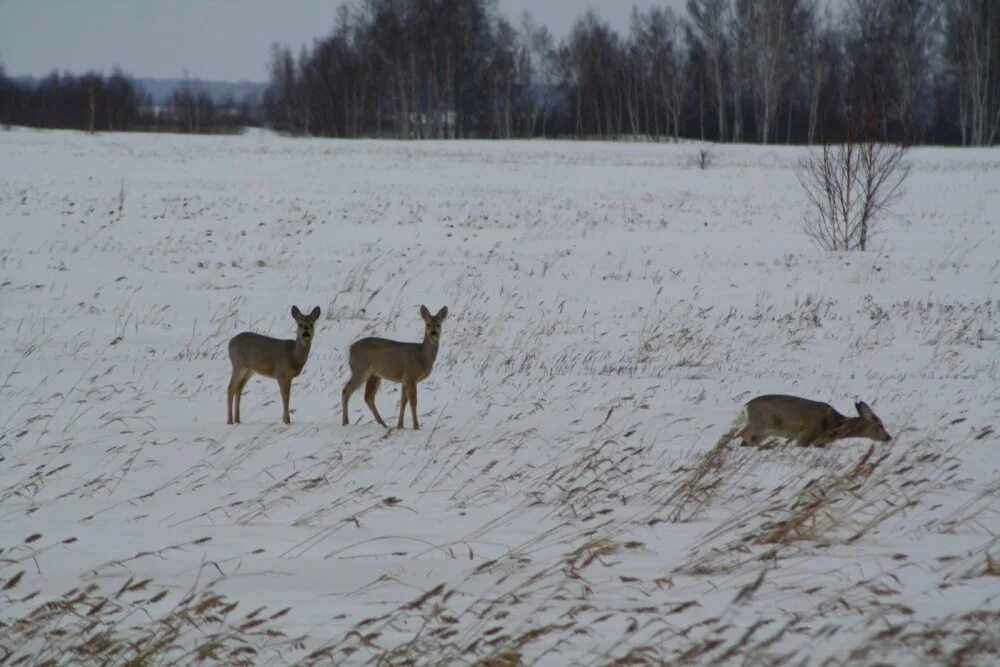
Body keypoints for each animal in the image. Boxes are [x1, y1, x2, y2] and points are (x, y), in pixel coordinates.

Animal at [736, 396, 892, 448]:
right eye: (879, 425)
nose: (888, 438)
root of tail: (746, 407)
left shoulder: (819, 442)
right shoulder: (806, 435)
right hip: (767, 422)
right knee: (744, 432)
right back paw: (765, 447)